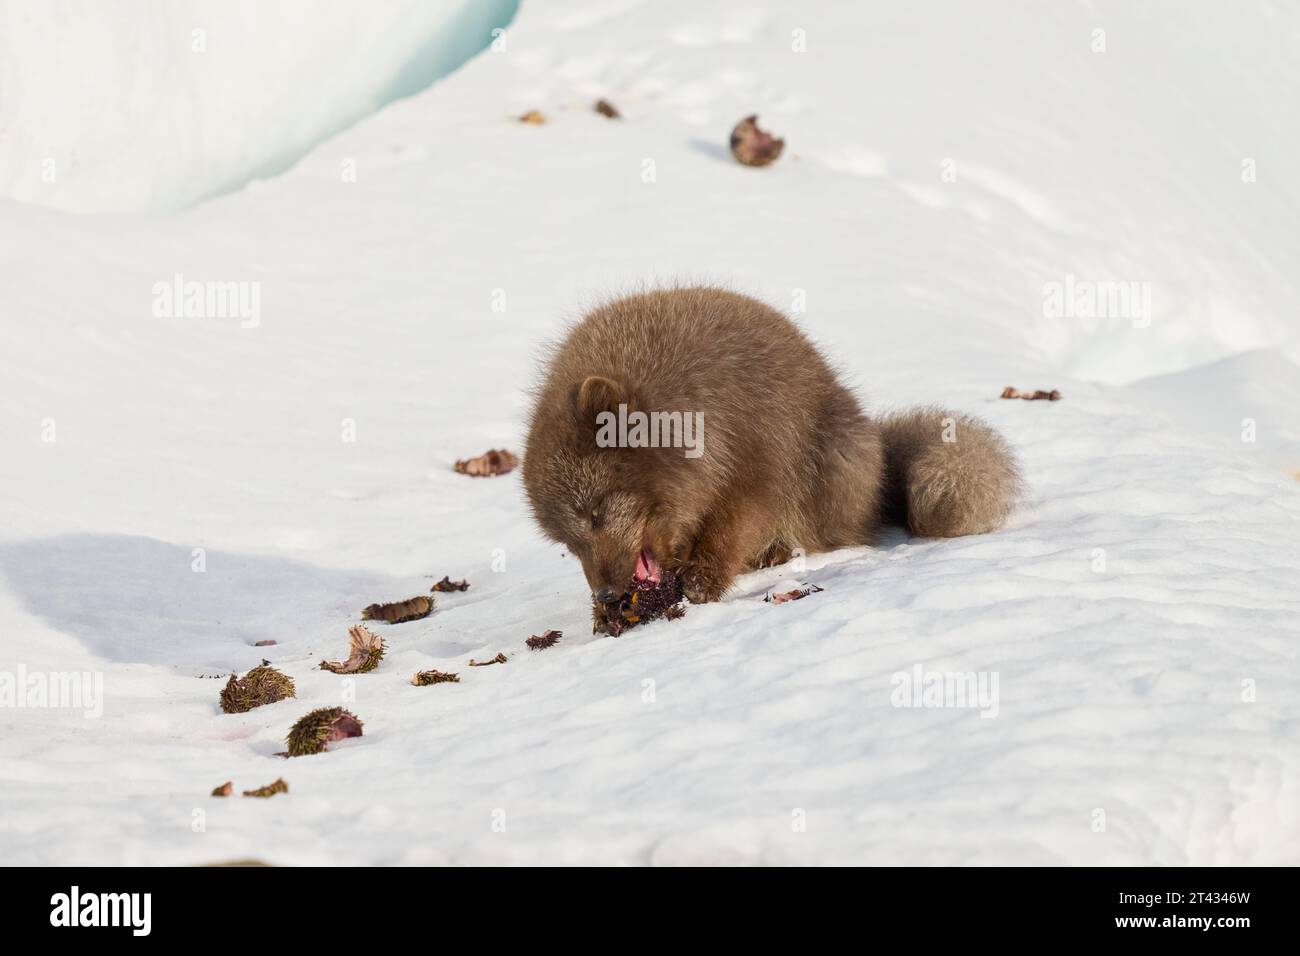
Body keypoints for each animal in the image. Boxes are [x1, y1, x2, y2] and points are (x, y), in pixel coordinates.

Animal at [522, 287, 1021, 632]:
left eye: (597, 511)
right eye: (568, 542)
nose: (607, 594)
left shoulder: (757, 468)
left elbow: (732, 532)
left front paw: (701, 585)